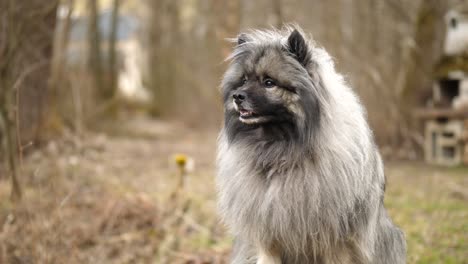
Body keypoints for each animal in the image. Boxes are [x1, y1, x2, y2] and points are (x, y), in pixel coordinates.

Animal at [216, 27, 406, 264]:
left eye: (269, 82)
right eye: (243, 80)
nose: (237, 96)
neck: (283, 149)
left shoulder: (335, 244)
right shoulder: (268, 241)